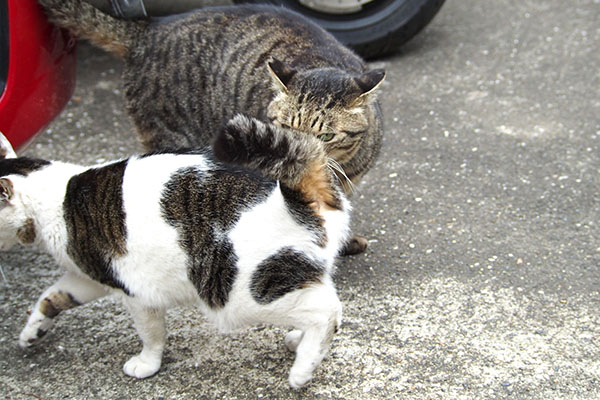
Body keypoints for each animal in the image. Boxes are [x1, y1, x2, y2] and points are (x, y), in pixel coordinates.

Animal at [2, 115, 352, 388]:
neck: (62, 198)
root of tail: (302, 194)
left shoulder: (136, 292)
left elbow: (151, 335)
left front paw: (146, 364)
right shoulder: (91, 276)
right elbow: (52, 296)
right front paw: (32, 331)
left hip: (237, 294)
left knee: (326, 311)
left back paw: (303, 368)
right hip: (291, 273)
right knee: (325, 302)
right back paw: (299, 340)